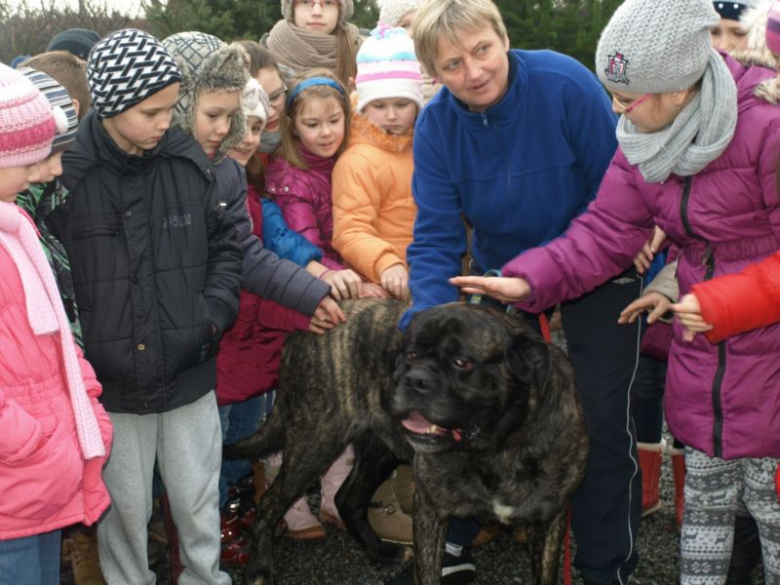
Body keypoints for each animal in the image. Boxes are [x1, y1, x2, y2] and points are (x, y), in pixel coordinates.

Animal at [224, 298, 584, 580]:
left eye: (462, 362)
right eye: (410, 354)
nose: (414, 380)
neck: (498, 447)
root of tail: (309, 322)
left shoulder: (550, 520)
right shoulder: (430, 509)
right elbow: (429, 573)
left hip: (379, 449)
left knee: (347, 498)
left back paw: (380, 552)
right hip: (315, 443)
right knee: (271, 502)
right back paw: (260, 567)